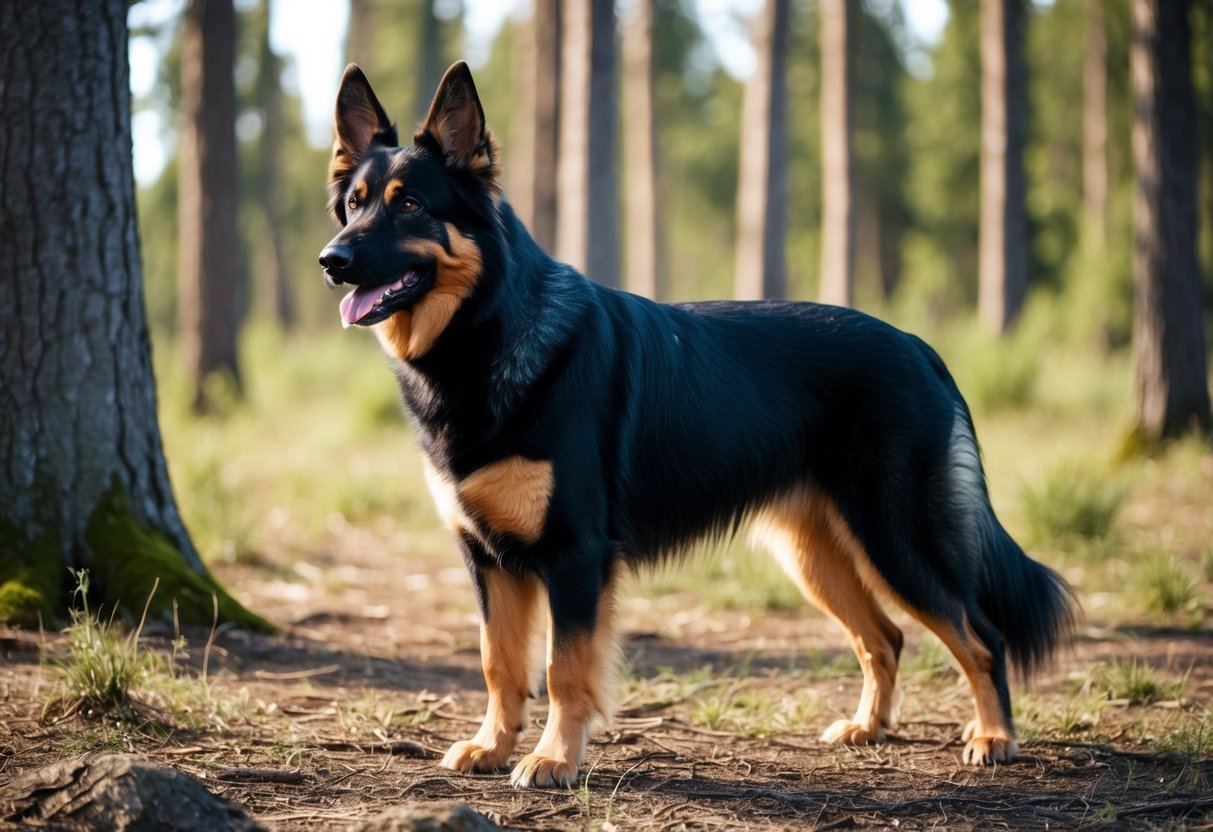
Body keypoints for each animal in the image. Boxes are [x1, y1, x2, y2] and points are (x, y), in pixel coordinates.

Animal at [317, 61, 1077, 790]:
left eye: (409, 204)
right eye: (354, 204)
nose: (331, 261)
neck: (489, 329)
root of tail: (920, 347)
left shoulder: (575, 557)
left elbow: (563, 671)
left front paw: (555, 759)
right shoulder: (486, 559)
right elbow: (498, 663)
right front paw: (492, 746)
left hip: (896, 539)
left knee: (980, 636)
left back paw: (993, 737)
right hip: (818, 555)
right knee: (884, 638)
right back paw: (868, 727)